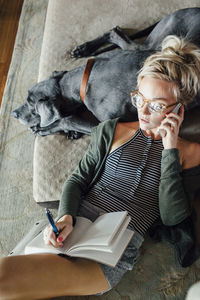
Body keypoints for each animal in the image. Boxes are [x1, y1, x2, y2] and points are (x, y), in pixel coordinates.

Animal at [12, 6, 200, 138]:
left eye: (30, 104)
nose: (14, 113)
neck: (82, 81)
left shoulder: (110, 126)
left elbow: (68, 120)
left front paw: (44, 128)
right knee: (115, 32)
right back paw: (83, 49)